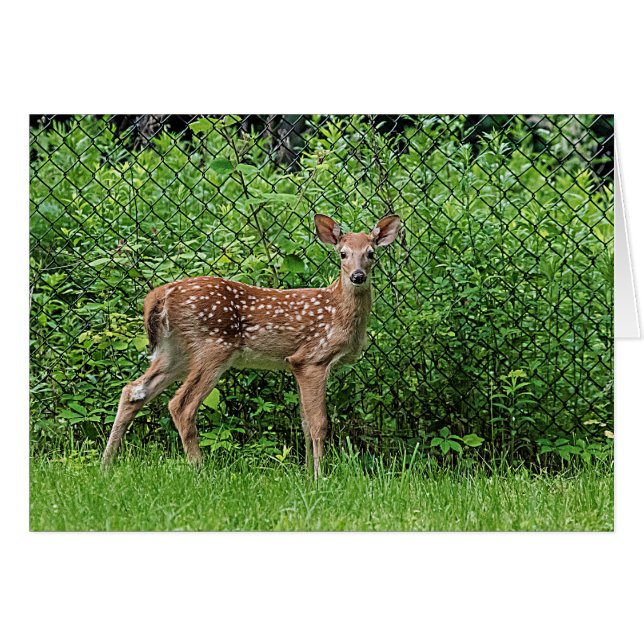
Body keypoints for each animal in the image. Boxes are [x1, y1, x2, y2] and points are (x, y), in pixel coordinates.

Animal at [102, 214, 401, 477]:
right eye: (342, 254)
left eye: (371, 253)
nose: (358, 276)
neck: (338, 311)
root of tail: (160, 295)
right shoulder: (313, 358)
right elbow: (319, 424)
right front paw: (320, 477)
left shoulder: (295, 364)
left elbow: (304, 423)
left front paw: (306, 475)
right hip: (213, 347)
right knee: (181, 405)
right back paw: (200, 471)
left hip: (174, 351)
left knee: (133, 390)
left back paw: (107, 464)